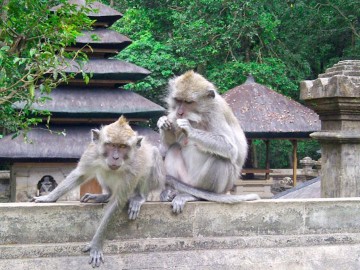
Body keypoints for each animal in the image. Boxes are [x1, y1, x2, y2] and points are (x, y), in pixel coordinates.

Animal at [32, 116, 165, 268]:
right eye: (110, 145)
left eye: (123, 147)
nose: (115, 158)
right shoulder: (92, 154)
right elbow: (80, 174)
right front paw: (49, 197)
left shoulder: (133, 169)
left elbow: (117, 202)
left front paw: (96, 244)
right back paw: (104, 195)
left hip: (157, 180)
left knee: (153, 154)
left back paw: (139, 197)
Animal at [159, 70, 260, 214]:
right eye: (178, 100)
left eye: (188, 102)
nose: (180, 112)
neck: (198, 116)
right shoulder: (173, 116)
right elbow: (167, 146)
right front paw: (163, 123)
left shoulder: (216, 113)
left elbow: (230, 147)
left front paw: (189, 129)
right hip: (185, 179)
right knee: (174, 148)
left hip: (209, 184)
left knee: (221, 159)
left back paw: (197, 195)